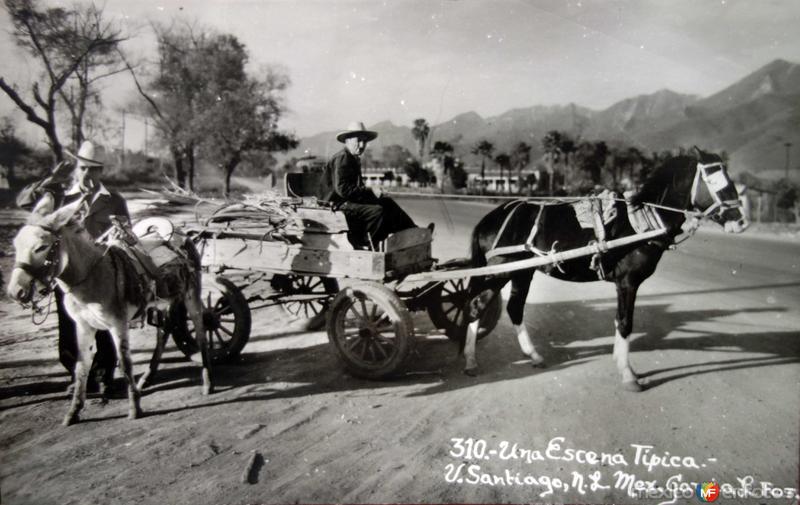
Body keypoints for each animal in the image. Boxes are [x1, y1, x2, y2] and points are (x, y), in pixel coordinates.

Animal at [6, 195, 212, 424]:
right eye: (16, 245)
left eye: (41, 247)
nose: (15, 292)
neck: (90, 276)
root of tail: (179, 233)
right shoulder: (84, 326)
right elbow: (81, 367)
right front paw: (73, 412)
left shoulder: (118, 324)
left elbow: (125, 363)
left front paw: (134, 409)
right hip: (165, 300)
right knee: (164, 330)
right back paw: (147, 378)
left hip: (192, 295)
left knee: (201, 332)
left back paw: (207, 382)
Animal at [460, 146, 748, 390]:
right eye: (716, 182)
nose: (741, 222)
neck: (642, 221)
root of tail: (492, 217)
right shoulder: (628, 282)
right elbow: (625, 322)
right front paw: (628, 374)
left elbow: (620, 322)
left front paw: (622, 365)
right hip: (500, 270)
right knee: (476, 306)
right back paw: (471, 360)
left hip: (523, 271)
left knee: (515, 308)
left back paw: (533, 355)